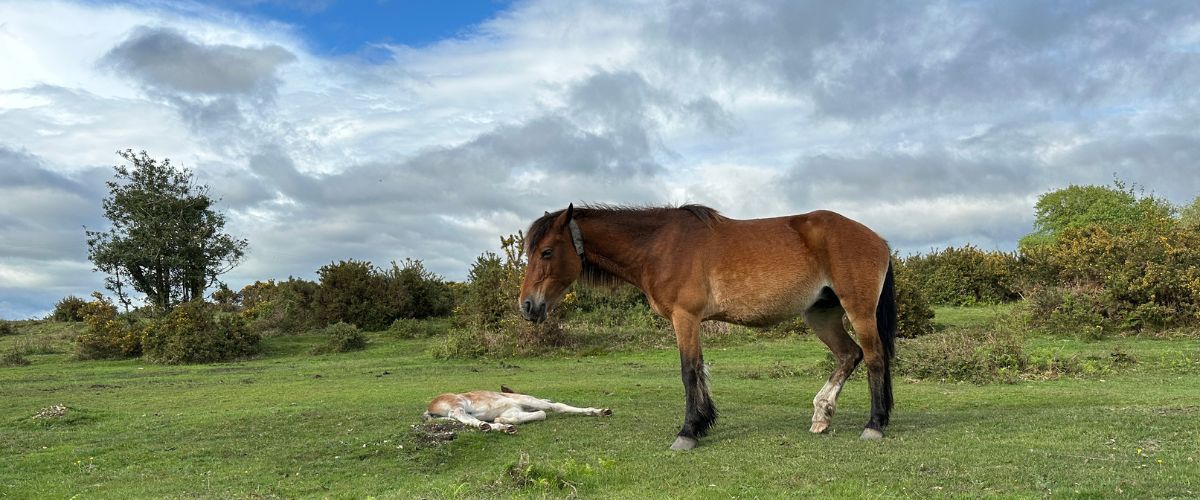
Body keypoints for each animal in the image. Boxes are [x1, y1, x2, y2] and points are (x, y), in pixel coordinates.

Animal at [423, 385, 612, 433]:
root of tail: (429, 408)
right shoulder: (528, 400)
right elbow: (551, 409)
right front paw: (601, 411)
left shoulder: (513, 410)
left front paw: (503, 420)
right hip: (458, 403)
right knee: (462, 415)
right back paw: (488, 425)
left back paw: (502, 427)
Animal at [518, 204, 896, 450]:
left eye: (547, 252)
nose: (527, 305)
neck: (659, 245)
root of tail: (877, 239)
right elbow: (699, 370)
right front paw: (702, 423)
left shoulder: (685, 317)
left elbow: (689, 372)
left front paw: (687, 432)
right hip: (821, 314)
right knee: (849, 355)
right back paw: (822, 414)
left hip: (858, 311)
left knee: (874, 357)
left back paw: (874, 425)